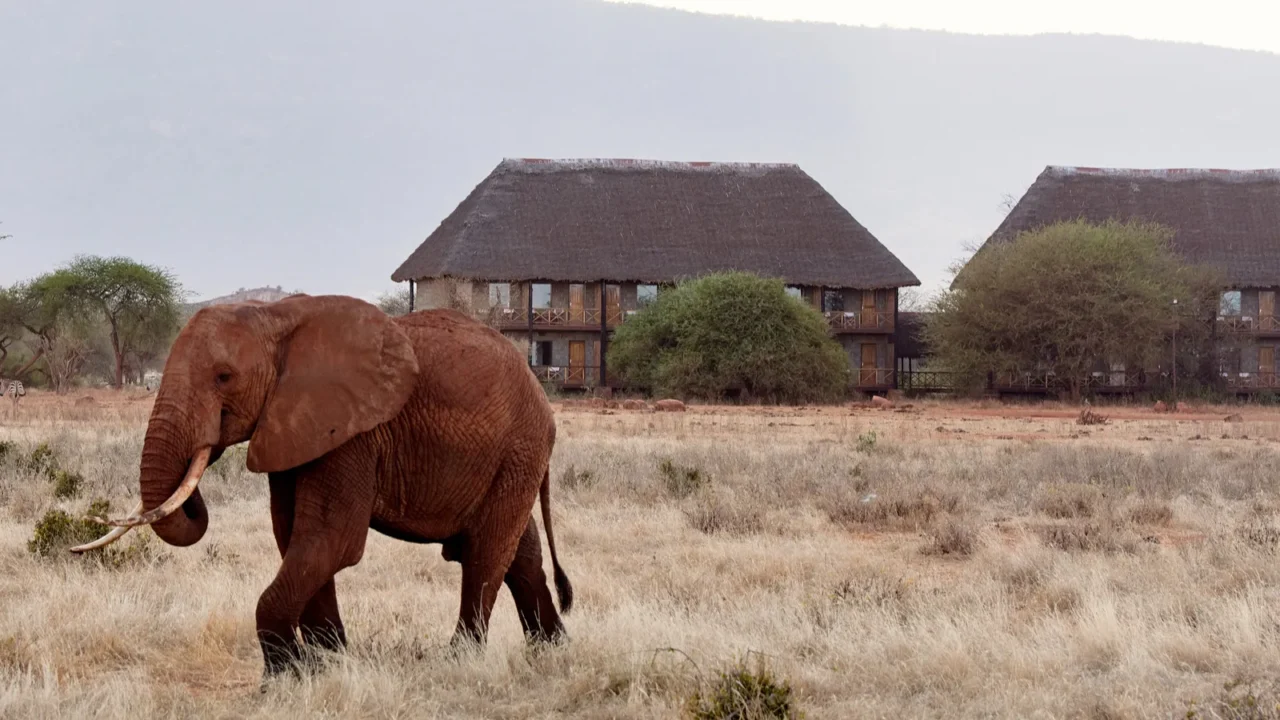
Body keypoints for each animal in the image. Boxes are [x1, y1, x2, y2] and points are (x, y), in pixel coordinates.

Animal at [72, 293, 573, 681]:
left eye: (223, 377)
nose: (203, 455)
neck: (273, 318)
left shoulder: (351, 433)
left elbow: (332, 539)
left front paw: (285, 676)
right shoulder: (290, 425)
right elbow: (293, 535)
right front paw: (327, 662)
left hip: (520, 448)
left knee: (486, 552)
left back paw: (457, 661)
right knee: (520, 552)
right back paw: (552, 650)